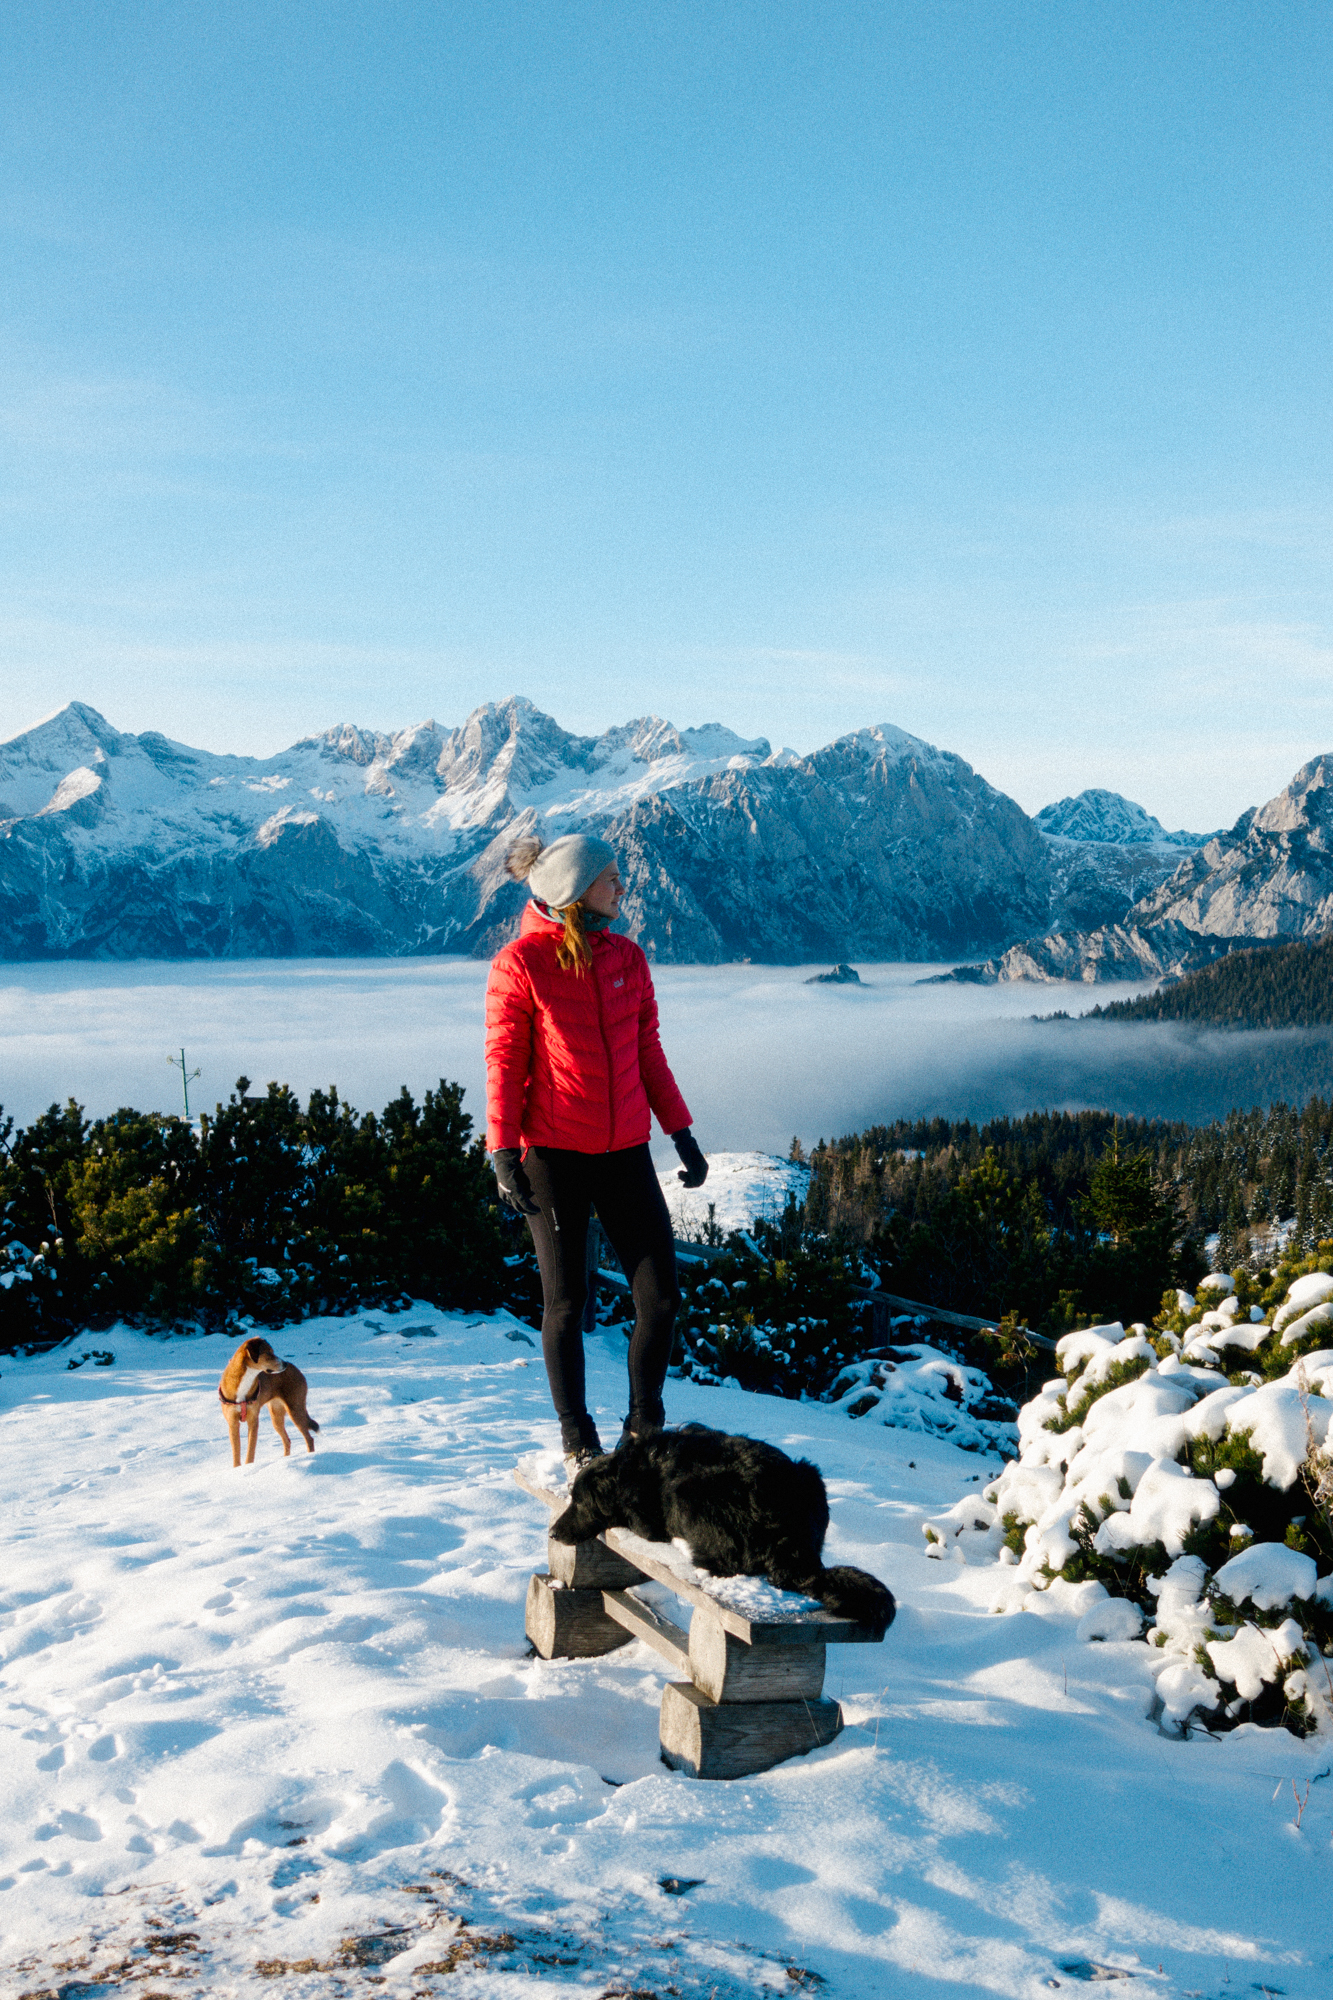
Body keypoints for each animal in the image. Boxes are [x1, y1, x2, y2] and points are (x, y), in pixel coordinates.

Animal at [220, 1328, 322, 1472]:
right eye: (268, 1353)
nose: (285, 1364)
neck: (244, 1381)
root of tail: (296, 1369)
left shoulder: (253, 1421)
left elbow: (250, 1451)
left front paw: (249, 1466)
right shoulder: (233, 1422)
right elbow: (236, 1452)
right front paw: (237, 1469)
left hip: (295, 1410)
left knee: (309, 1439)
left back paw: (309, 1457)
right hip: (276, 1417)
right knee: (287, 1440)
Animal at [544, 1424, 896, 1640]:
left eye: (580, 1502)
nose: (552, 1533)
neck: (633, 1469)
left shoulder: (648, 1520)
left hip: (690, 1488)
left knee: (726, 1563)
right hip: (811, 1474)